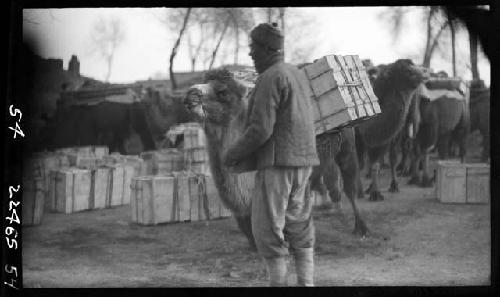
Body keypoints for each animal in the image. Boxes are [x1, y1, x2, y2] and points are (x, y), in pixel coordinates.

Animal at [356, 59, 426, 200]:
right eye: (407, 71)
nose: (424, 73)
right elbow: (359, 163)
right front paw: (362, 192)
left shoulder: (389, 135)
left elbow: (381, 162)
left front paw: (377, 191)